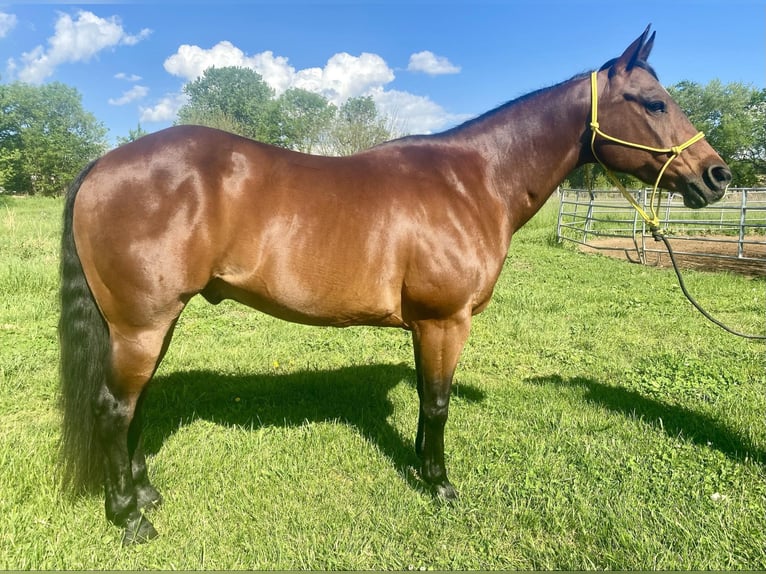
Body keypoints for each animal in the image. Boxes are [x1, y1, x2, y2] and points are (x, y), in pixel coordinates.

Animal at [58, 26, 731, 544]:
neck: (473, 180)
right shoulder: (445, 320)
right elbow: (437, 402)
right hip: (142, 325)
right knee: (114, 408)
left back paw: (145, 494)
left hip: (151, 324)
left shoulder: (423, 325)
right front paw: (440, 484)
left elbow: (427, 400)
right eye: (652, 102)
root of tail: (102, 164)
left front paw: (420, 466)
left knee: (135, 405)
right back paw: (130, 518)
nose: (717, 176)